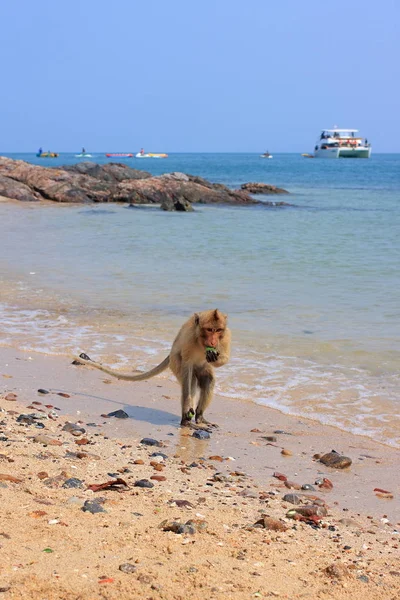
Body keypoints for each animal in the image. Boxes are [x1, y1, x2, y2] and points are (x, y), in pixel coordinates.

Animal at [74, 308, 231, 428]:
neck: (201, 340)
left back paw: (199, 417)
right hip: (175, 363)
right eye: (209, 329)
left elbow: (224, 359)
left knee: (208, 381)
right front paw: (187, 409)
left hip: (200, 366)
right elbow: (187, 367)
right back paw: (186, 421)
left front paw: (215, 357)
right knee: (190, 381)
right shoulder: (189, 339)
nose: (213, 341)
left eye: (218, 330)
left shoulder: (226, 337)